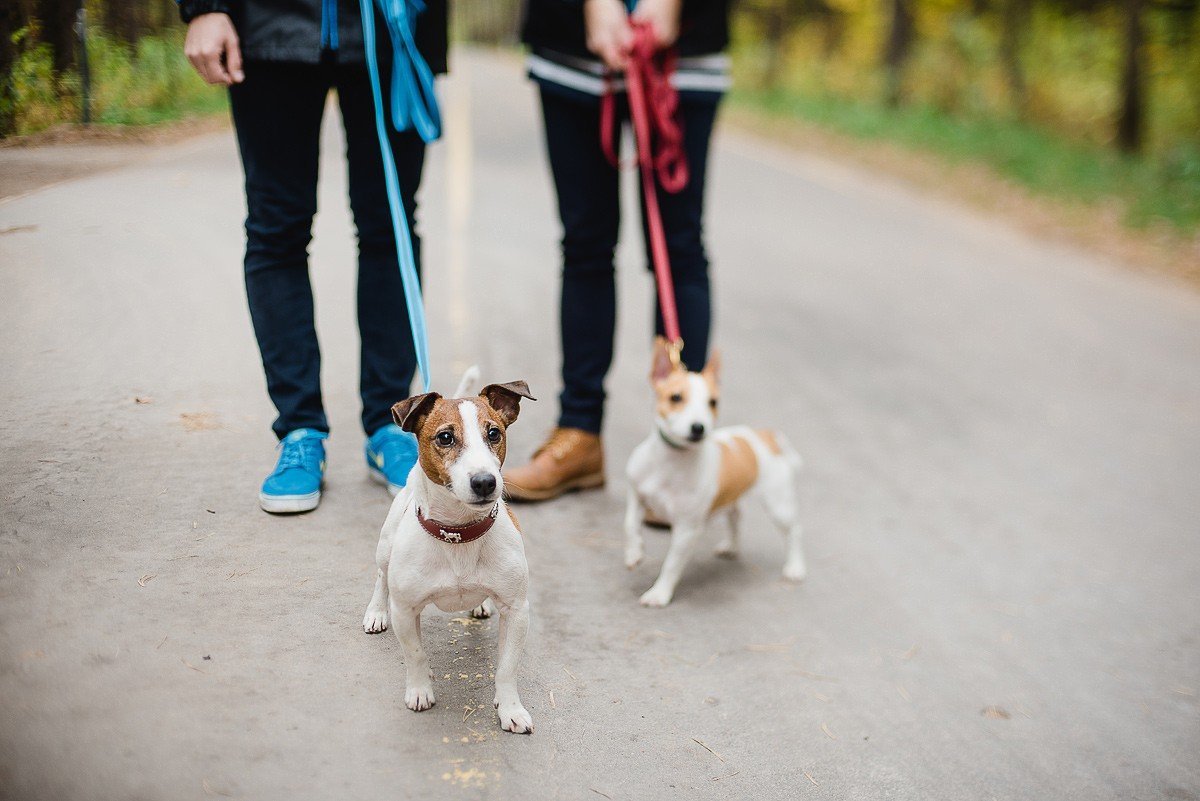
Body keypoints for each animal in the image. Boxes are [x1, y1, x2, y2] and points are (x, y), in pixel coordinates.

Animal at [360, 369, 540, 733]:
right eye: (445, 437)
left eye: (494, 433)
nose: (485, 482)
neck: (459, 533)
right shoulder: (406, 610)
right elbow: (415, 654)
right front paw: (420, 691)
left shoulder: (517, 611)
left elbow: (507, 668)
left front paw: (510, 709)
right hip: (385, 547)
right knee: (381, 576)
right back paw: (376, 611)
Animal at [619, 340, 806, 606]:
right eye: (676, 397)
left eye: (713, 402)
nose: (699, 428)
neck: (671, 460)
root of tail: (764, 435)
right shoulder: (636, 496)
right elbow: (629, 526)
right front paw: (634, 553)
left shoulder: (686, 530)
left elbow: (671, 565)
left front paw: (659, 593)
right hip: (732, 498)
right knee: (736, 517)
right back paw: (731, 546)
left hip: (779, 504)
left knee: (794, 531)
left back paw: (795, 567)